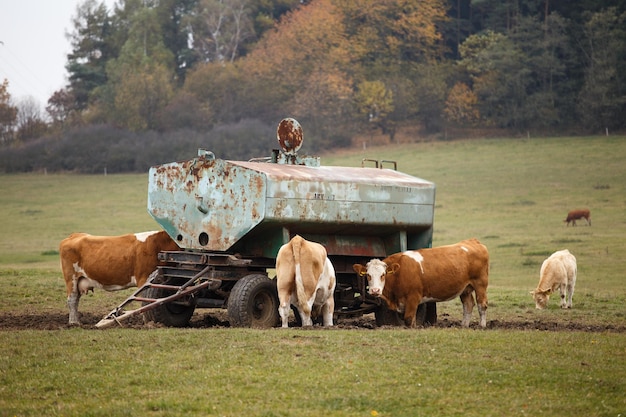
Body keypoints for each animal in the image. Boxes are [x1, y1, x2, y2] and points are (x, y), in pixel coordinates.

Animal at [352, 239, 488, 326]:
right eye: (368, 275)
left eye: (383, 274)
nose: (375, 290)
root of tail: (472, 241)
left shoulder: (413, 297)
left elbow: (408, 320)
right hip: (465, 288)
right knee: (468, 305)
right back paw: (464, 325)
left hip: (480, 284)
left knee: (482, 305)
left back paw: (481, 326)